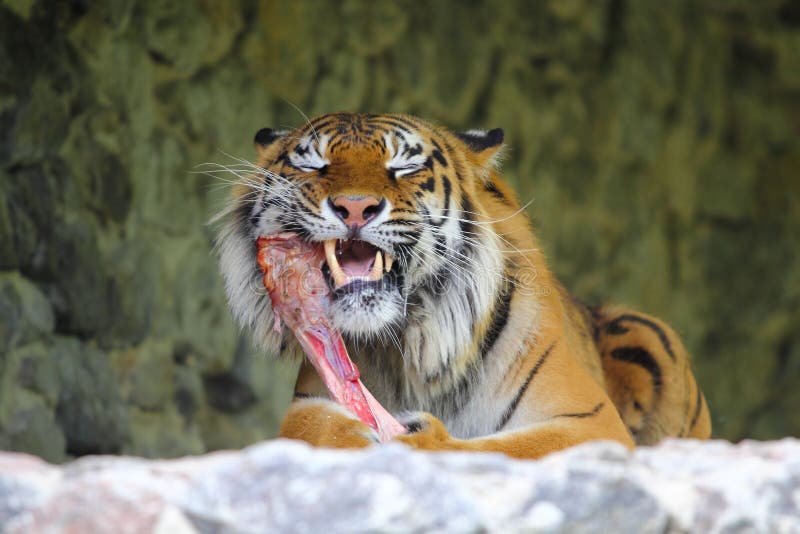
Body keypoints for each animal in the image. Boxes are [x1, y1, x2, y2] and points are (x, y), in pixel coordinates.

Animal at [216, 112, 711, 459]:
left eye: (403, 167)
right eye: (315, 165)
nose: (354, 207)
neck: (404, 347)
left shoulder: (589, 421)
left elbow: (509, 449)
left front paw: (418, 438)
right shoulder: (312, 400)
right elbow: (314, 428)